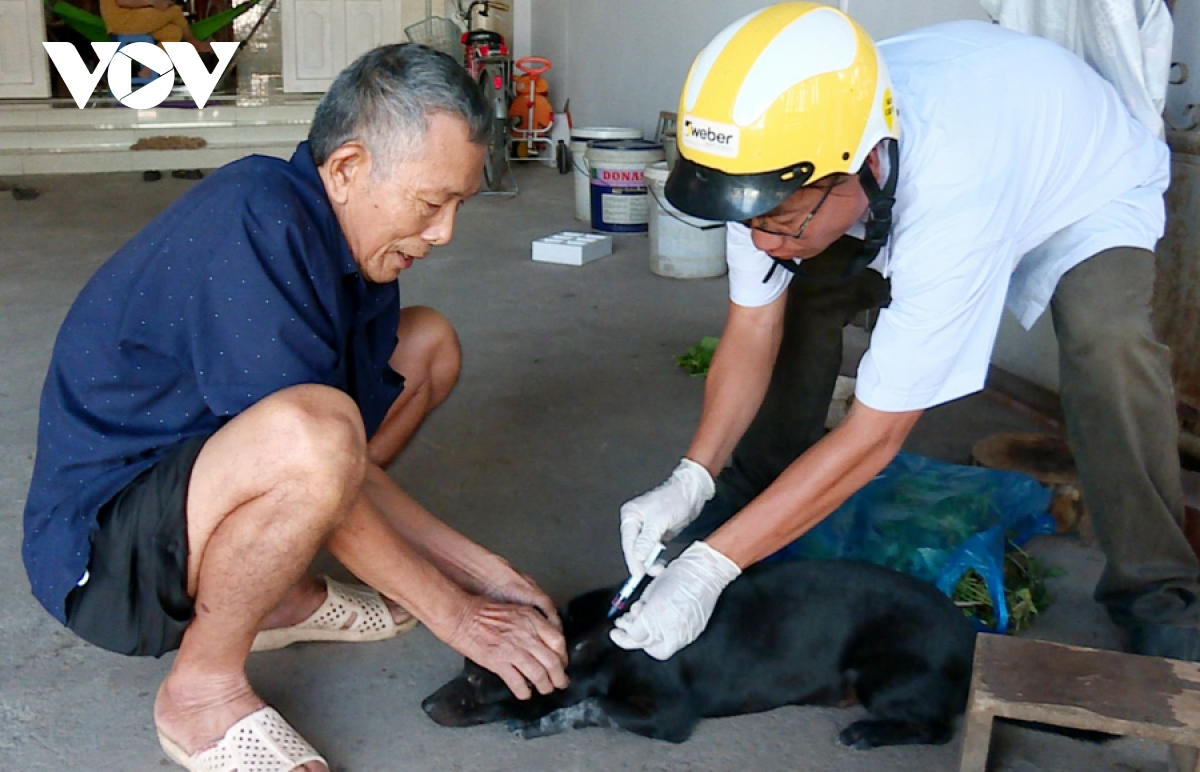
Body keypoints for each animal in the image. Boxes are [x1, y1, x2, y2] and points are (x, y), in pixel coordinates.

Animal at [422, 561, 974, 749]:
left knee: (938, 729)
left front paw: (539, 722)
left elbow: (590, 706)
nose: (425, 706)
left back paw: (868, 732)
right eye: (464, 666)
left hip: (882, 673)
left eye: (481, 682)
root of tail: (969, 635)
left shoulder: (670, 714)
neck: (593, 634)